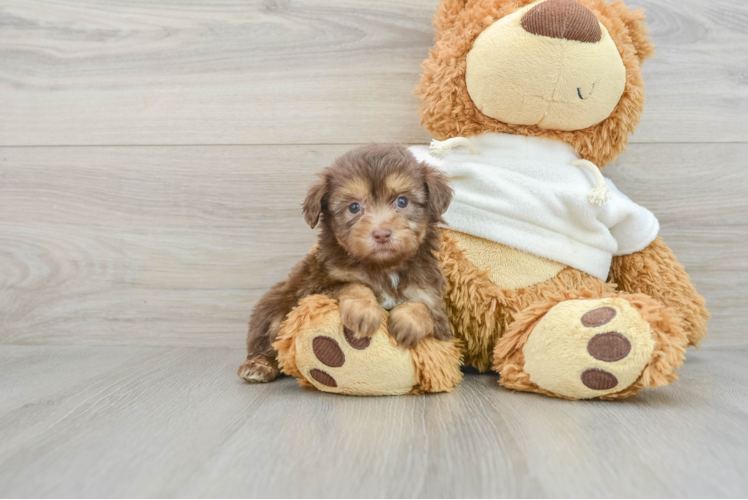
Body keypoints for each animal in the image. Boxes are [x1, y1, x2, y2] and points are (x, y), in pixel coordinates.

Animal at [237, 144, 452, 382]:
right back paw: (258, 365)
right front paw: (364, 311)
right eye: (354, 207)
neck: (383, 267)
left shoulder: (436, 308)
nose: (382, 234)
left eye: (402, 202)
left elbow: (423, 308)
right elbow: (352, 285)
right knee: (269, 337)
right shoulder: (315, 289)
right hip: (275, 307)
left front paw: (407, 324)